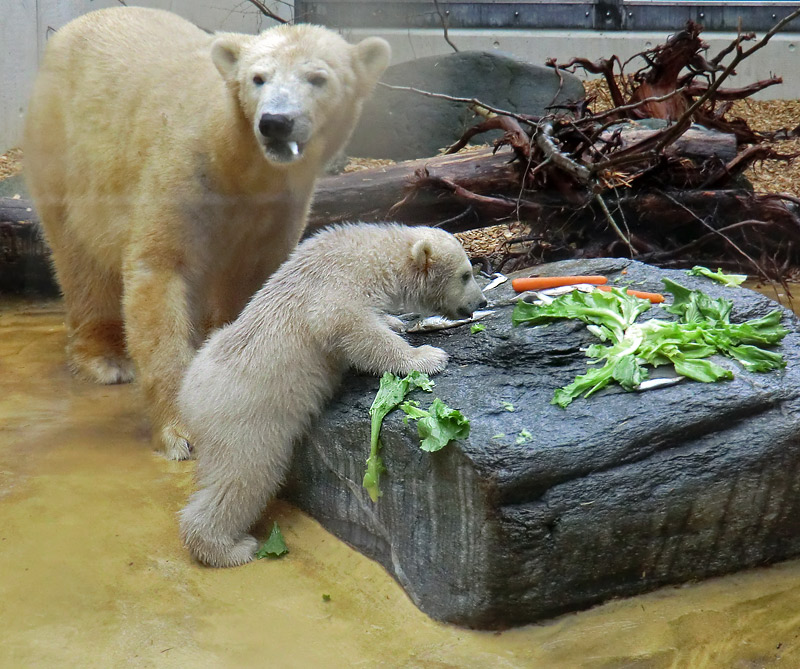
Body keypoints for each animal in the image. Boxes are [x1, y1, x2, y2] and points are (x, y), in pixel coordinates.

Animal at [26, 6, 396, 460]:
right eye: (258, 77)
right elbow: (159, 269)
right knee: (79, 257)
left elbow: (256, 281)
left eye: (317, 77)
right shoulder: (184, 171)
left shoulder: (277, 209)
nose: (275, 122)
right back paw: (105, 358)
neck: (238, 165)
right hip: (61, 148)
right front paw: (181, 431)